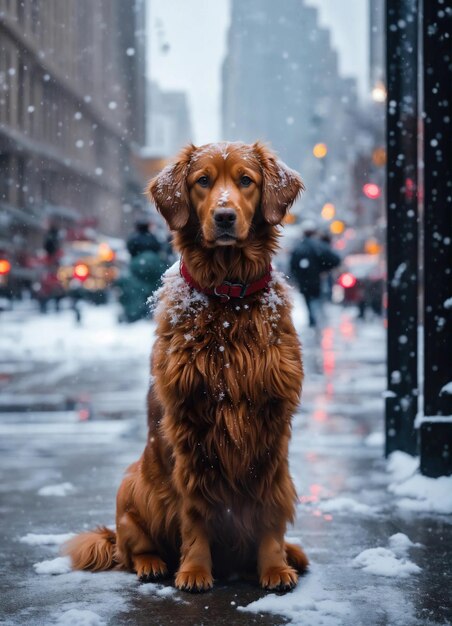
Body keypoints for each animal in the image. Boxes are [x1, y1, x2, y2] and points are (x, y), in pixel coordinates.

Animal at [63, 140, 308, 588]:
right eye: (203, 181)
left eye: (246, 180)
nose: (225, 216)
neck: (228, 299)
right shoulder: (190, 426)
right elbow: (194, 511)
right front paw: (194, 570)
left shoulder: (272, 424)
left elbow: (269, 508)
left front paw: (274, 567)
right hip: (131, 486)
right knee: (130, 547)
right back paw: (152, 563)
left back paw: (289, 555)